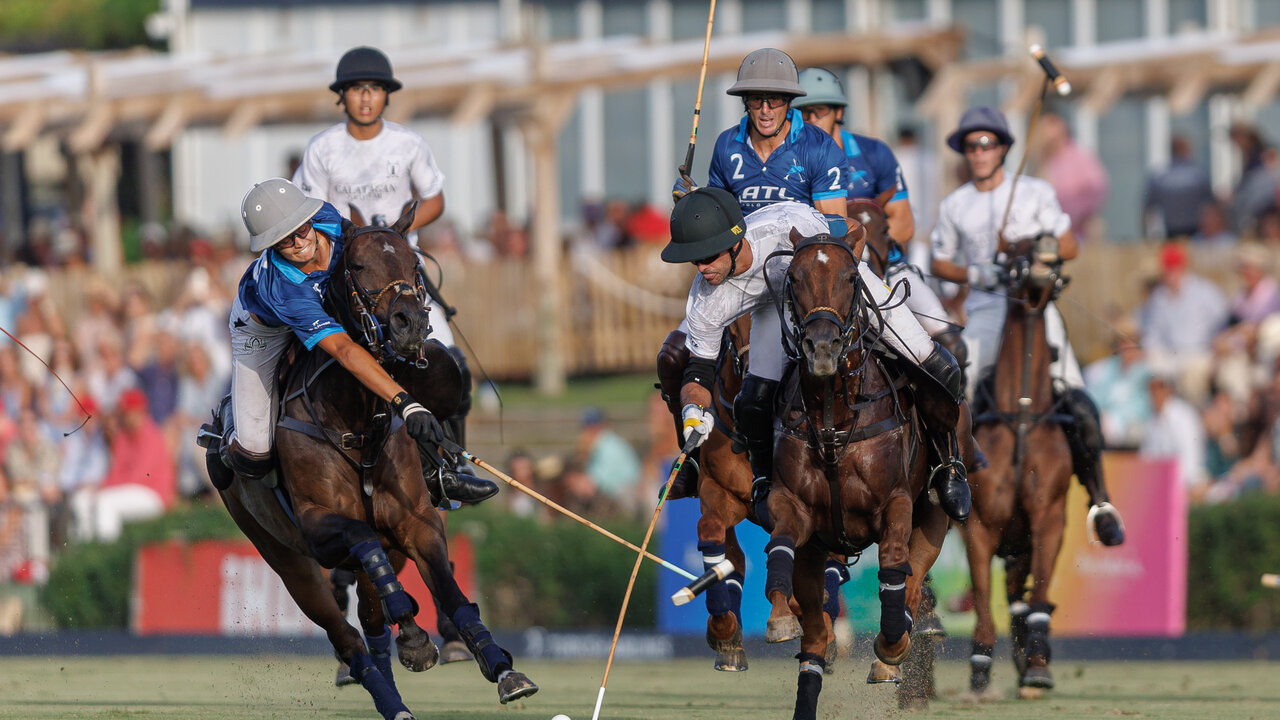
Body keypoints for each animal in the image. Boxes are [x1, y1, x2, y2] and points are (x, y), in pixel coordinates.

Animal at [208, 207, 535, 717]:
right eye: (358, 267)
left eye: (414, 264)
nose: (409, 324)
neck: (358, 418)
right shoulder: (320, 527)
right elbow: (364, 548)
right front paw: (416, 636)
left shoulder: (415, 519)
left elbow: (451, 593)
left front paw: (502, 668)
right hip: (285, 560)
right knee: (347, 635)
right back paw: (390, 695)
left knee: (370, 614)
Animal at [757, 224, 952, 717]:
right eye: (795, 278)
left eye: (850, 278)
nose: (823, 349)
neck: (834, 417)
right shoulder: (793, 506)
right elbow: (781, 544)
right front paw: (780, 617)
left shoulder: (896, 505)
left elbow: (894, 566)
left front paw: (891, 646)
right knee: (815, 636)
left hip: (935, 518)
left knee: (913, 581)